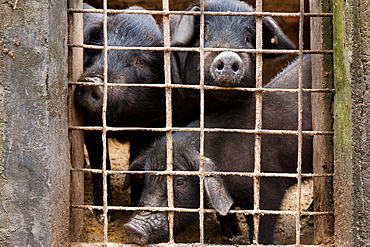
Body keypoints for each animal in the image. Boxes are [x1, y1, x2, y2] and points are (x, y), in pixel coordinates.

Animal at [73, 6, 164, 213]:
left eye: (140, 61)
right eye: (97, 50)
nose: (92, 81)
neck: (122, 122)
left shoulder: (152, 124)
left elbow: (138, 160)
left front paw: (135, 205)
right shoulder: (91, 125)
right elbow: (100, 164)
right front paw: (102, 214)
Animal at [123, 55, 312, 244]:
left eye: (181, 182)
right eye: (146, 178)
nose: (132, 228)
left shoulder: (269, 187)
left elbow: (262, 222)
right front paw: (232, 234)